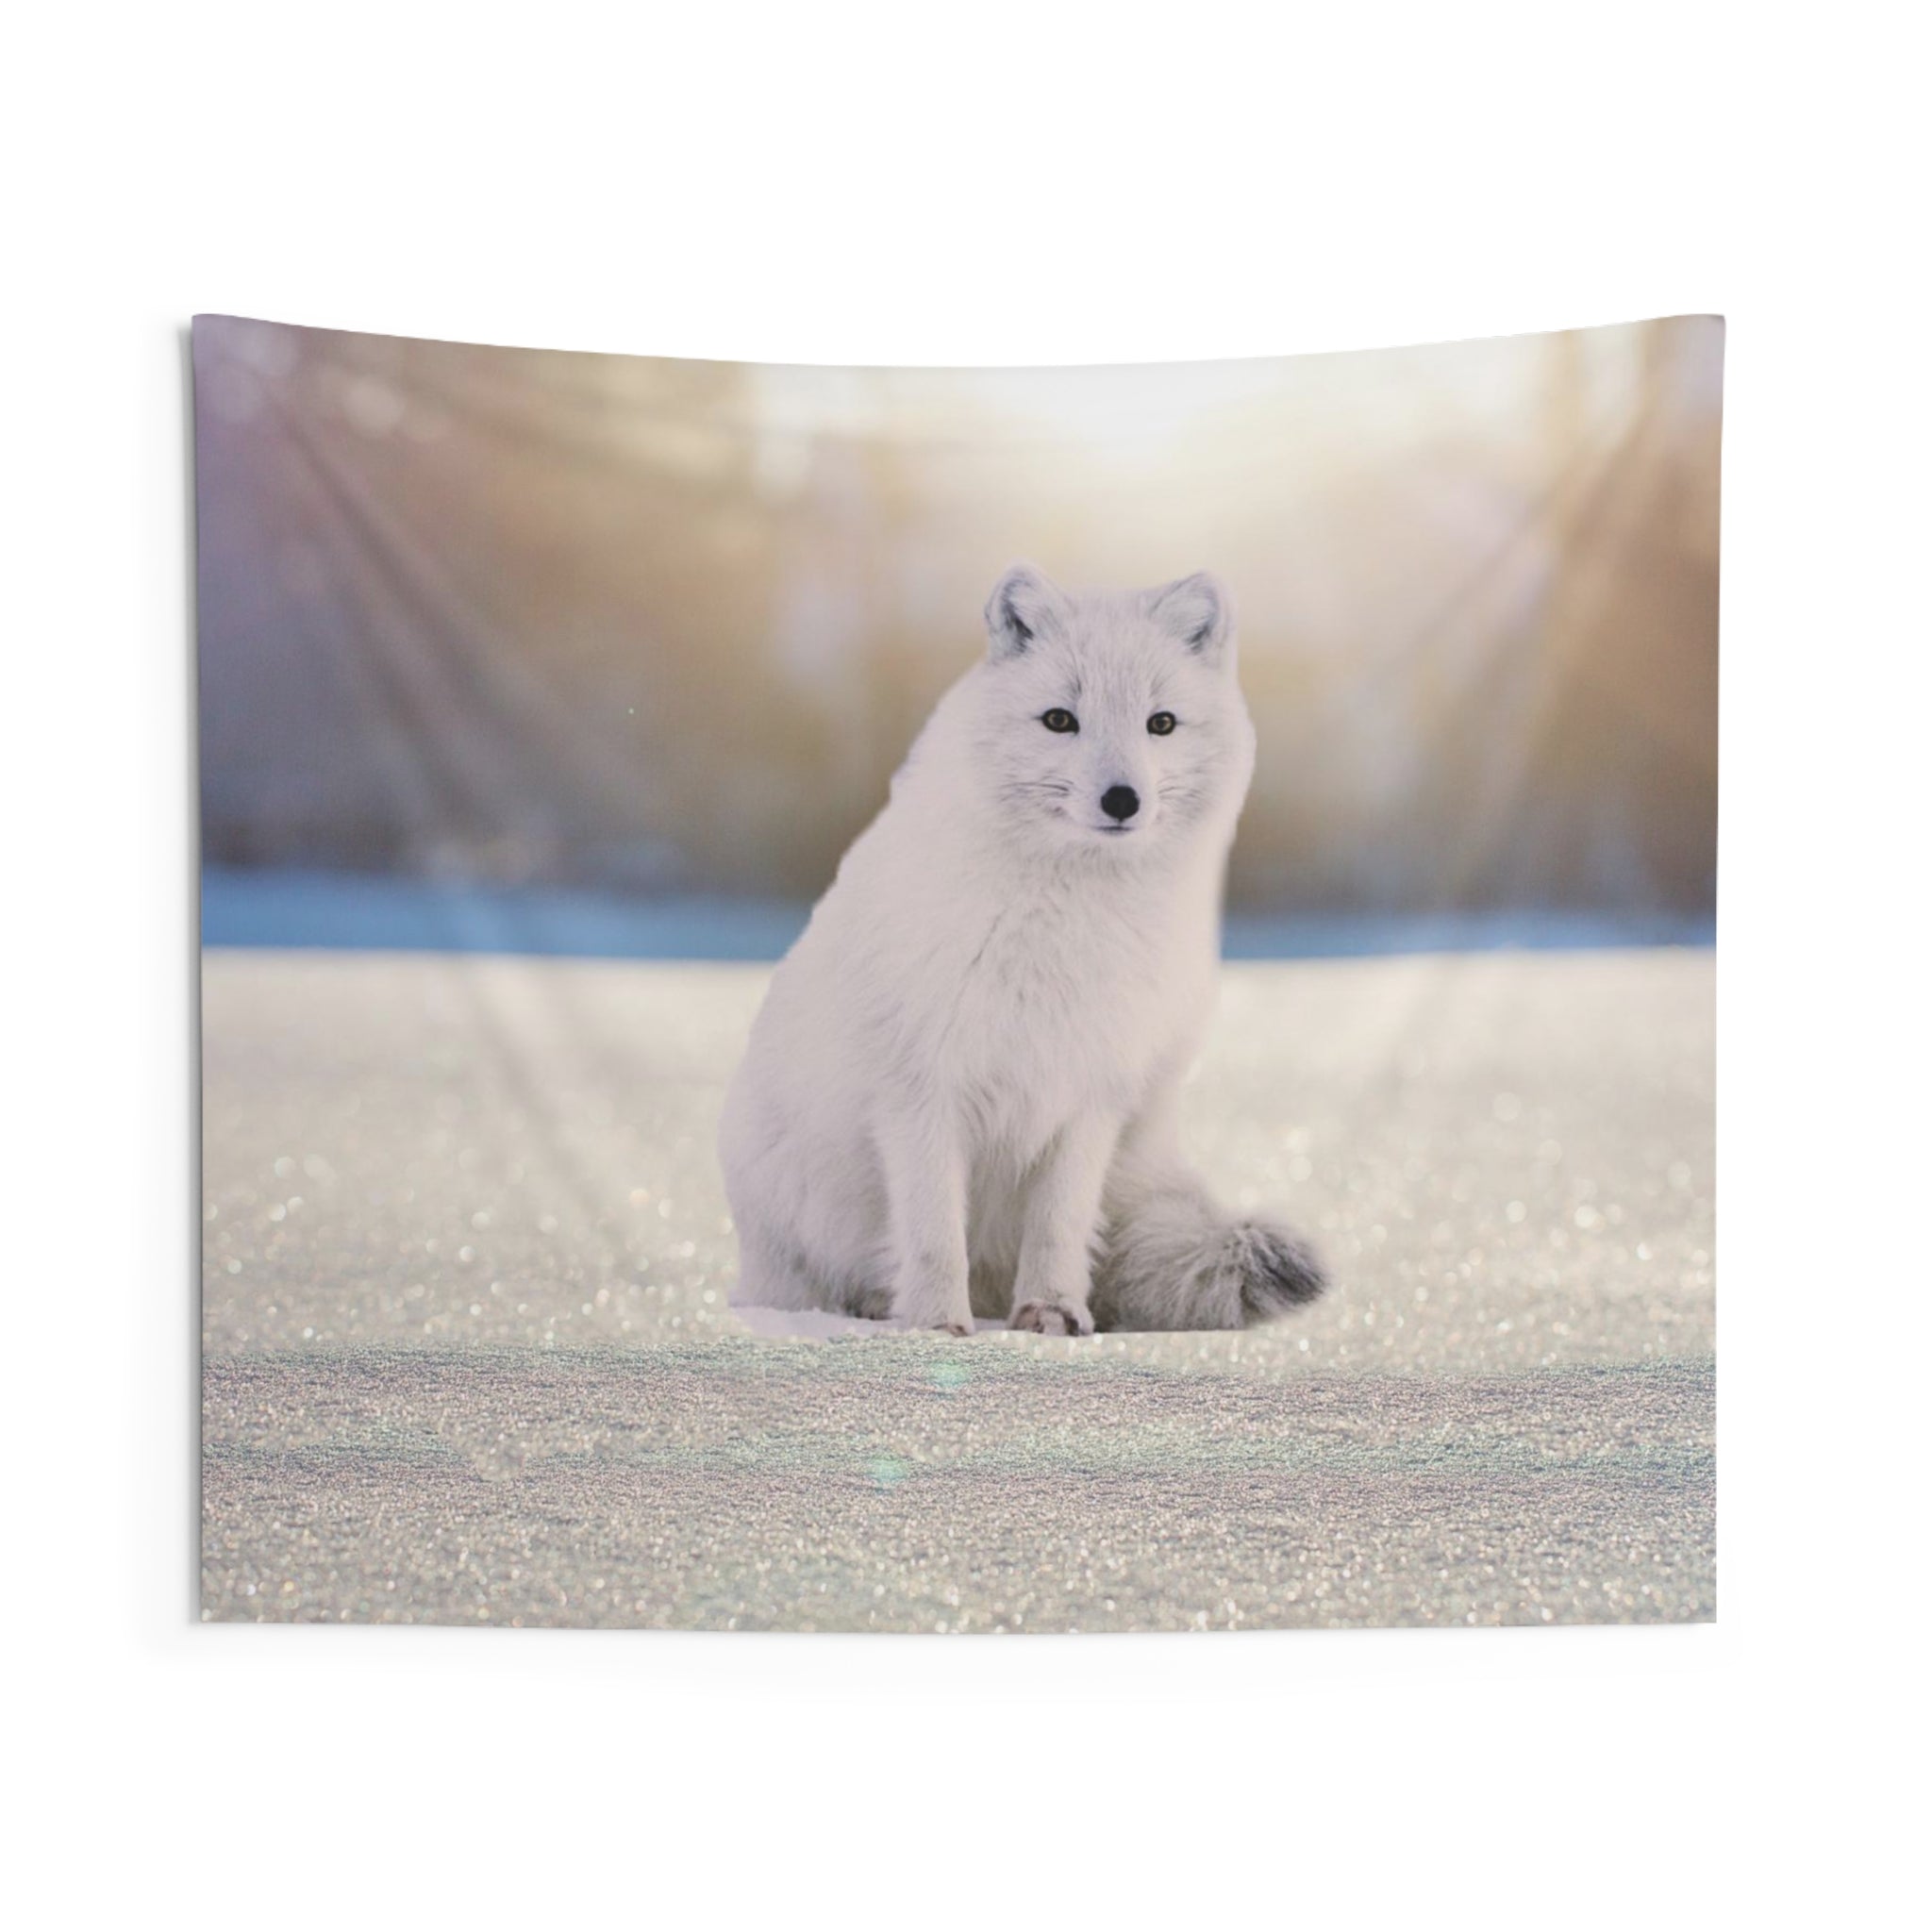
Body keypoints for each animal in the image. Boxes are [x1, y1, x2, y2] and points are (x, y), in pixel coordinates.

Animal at [719, 563, 1326, 1335]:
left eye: (1160, 722)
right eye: (1060, 719)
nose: (1122, 799)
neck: (1062, 925)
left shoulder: (1090, 1094)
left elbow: (1060, 1222)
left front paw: (1052, 1312)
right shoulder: (920, 1089)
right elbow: (932, 1229)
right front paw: (935, 1326)